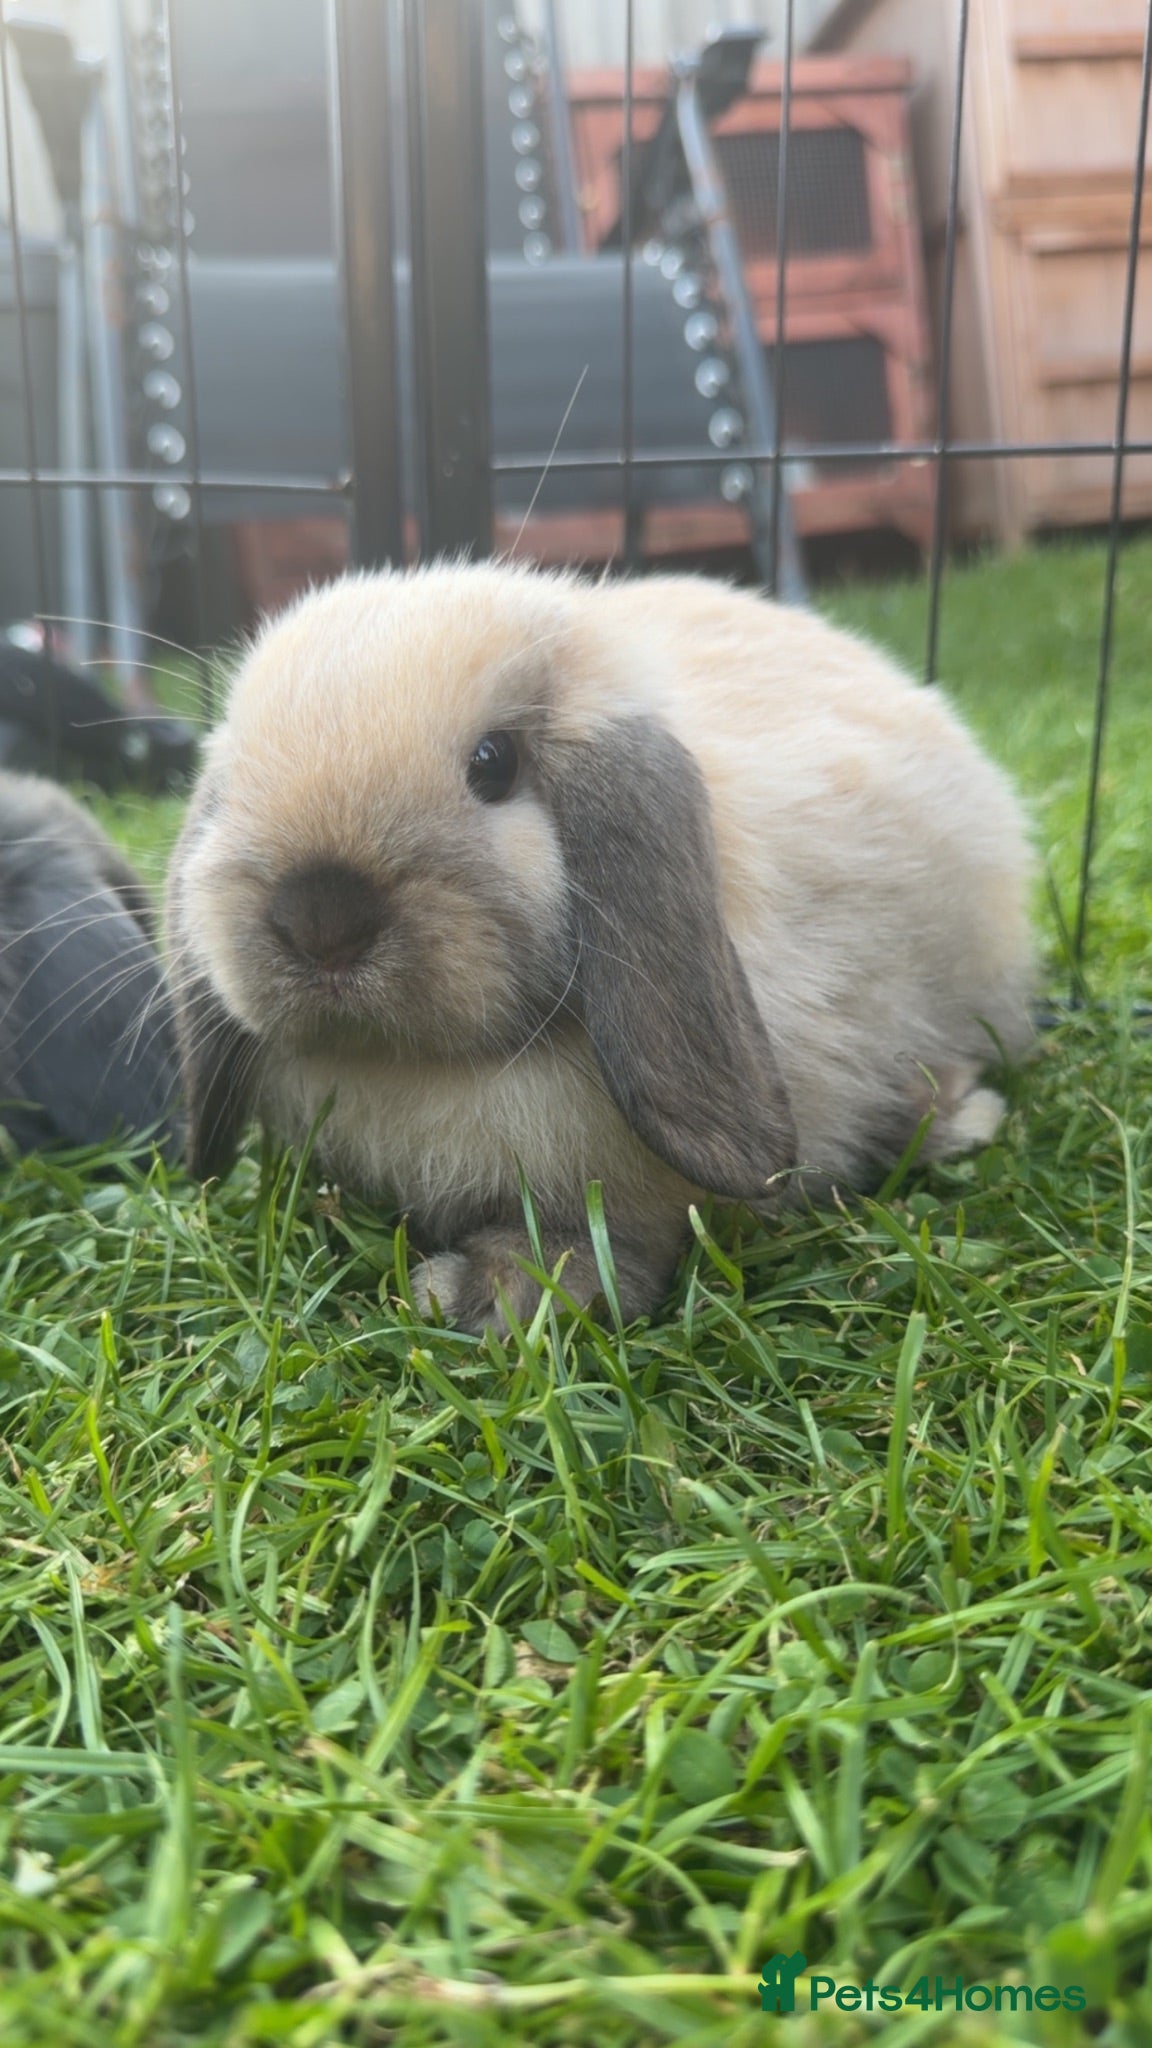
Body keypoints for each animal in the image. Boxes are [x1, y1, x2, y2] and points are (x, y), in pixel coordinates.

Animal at [166, 561, 1035, 1332]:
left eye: (494, 763)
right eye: (232, 783)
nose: (321, 919)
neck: (422, 1067)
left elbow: (606, 1238)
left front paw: (499, 1298)